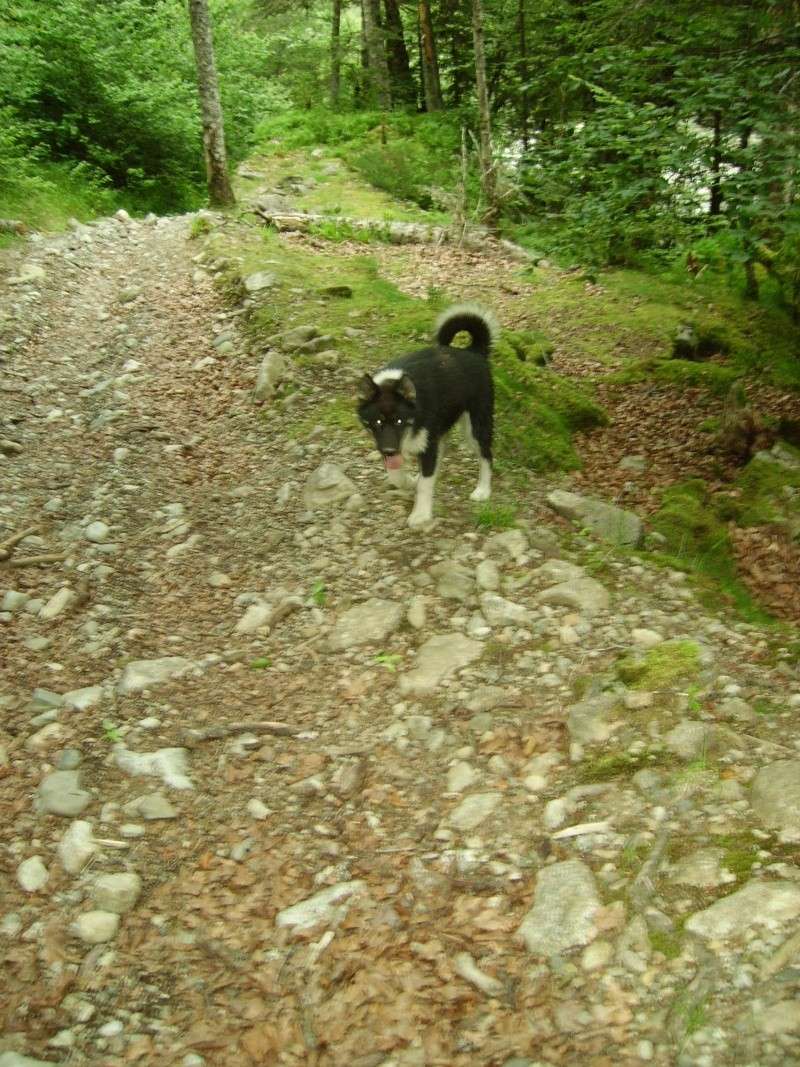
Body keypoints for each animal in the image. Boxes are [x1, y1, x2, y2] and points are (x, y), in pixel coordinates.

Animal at [358, 305, 499, 524]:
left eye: (400, 421)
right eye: (378, 422)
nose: (389, 450)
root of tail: (474, 352)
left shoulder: (425, 443)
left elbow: (425, 484)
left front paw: (421, 514)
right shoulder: (386, 442)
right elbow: (396, 473)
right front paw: (407, 481)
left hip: (476, 425)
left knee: (486, 455)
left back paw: (483, 490)